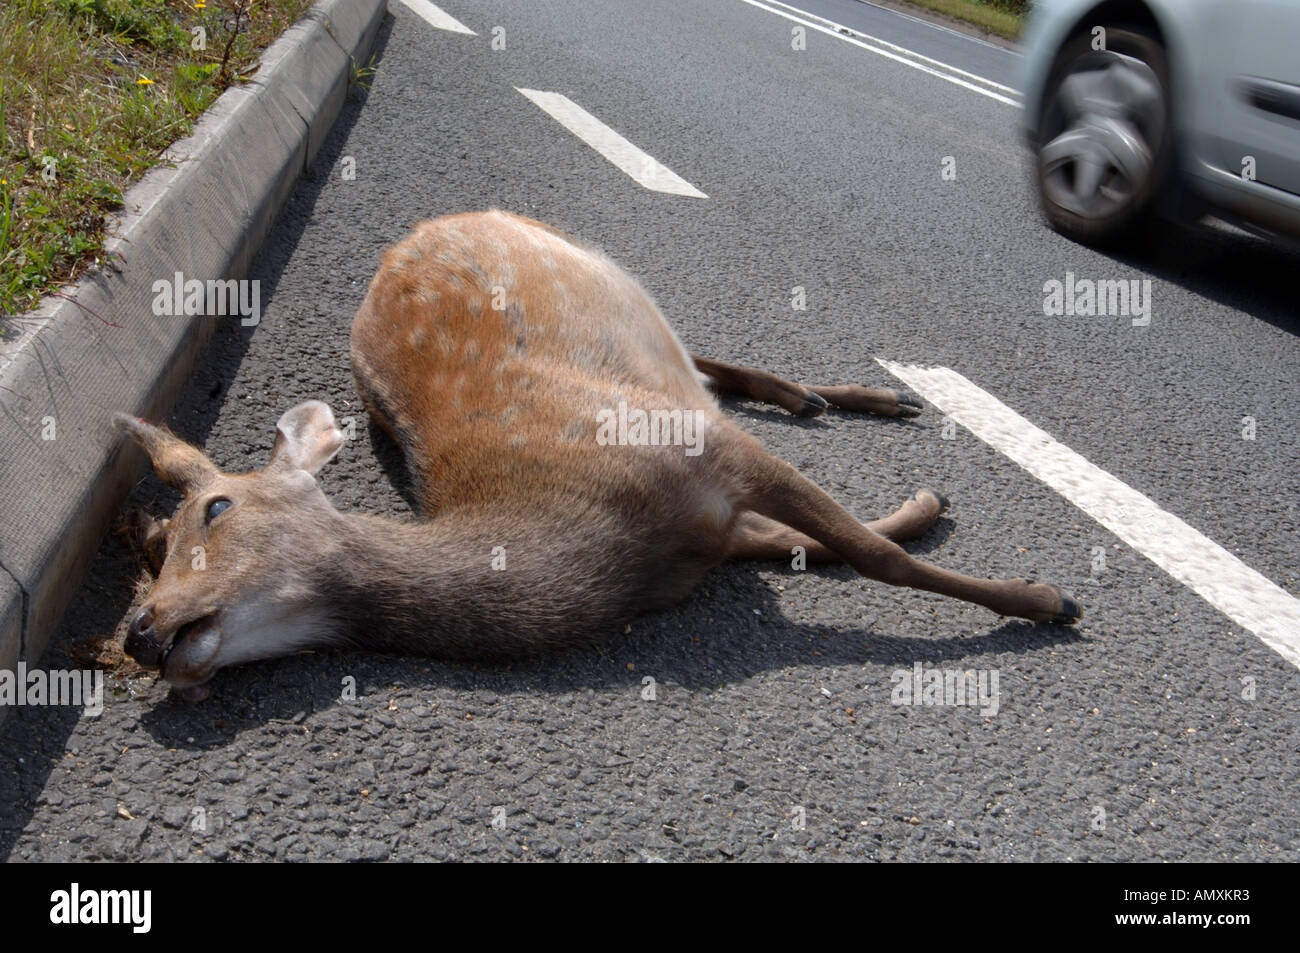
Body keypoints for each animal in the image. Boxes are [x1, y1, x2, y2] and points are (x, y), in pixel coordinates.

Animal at [115, 210, 1081, 702]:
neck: (608, 543)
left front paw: (1041, 598)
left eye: (216, 506)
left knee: (710, 360)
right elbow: (822, 547)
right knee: (709, 369)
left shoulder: (709, 448)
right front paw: (927, 511)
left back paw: (862, 397)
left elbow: (872, 555)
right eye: (150, 555)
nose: (140, 632)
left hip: (612, 270)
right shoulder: (715, 530)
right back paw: (833, 400)